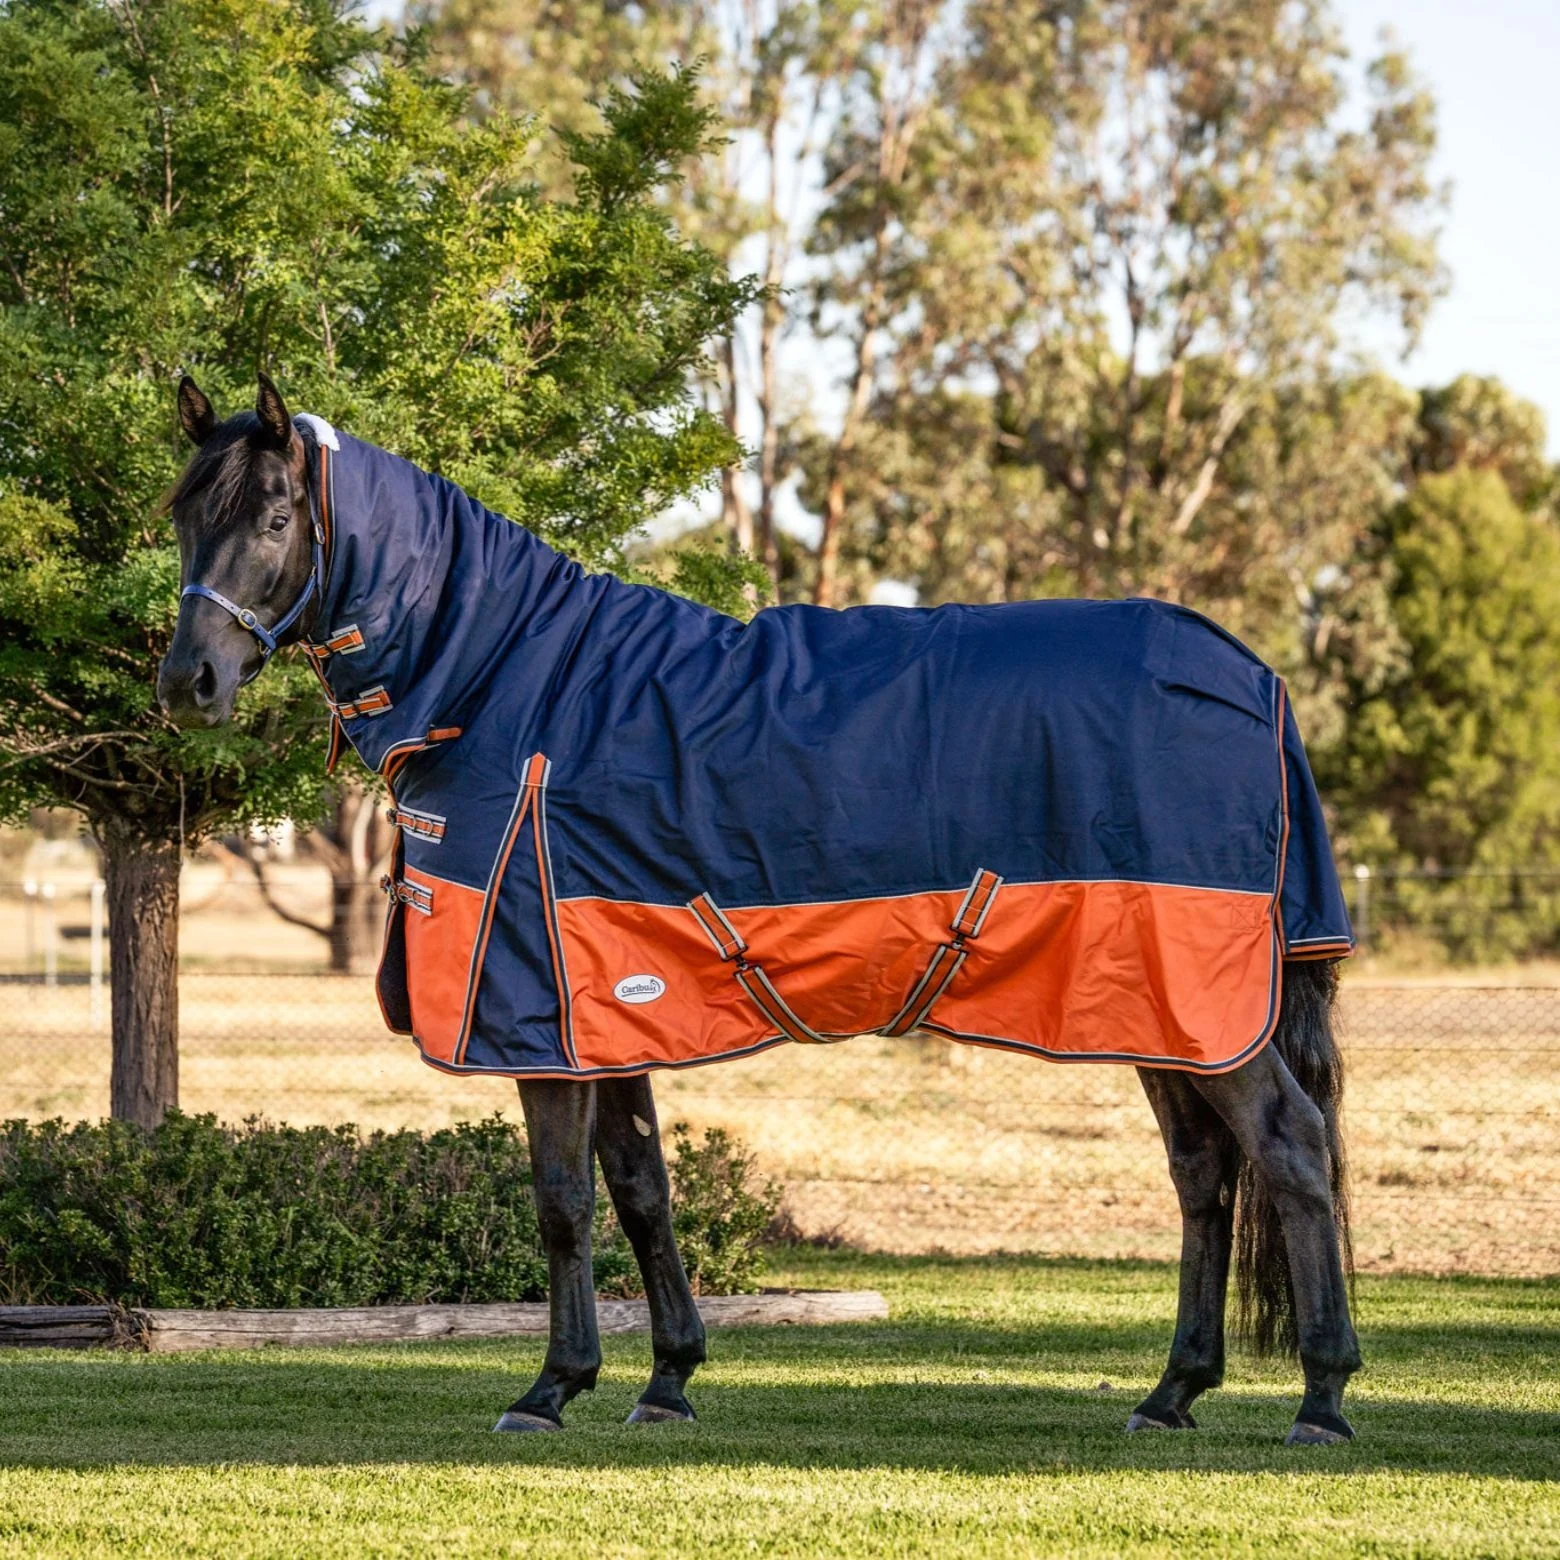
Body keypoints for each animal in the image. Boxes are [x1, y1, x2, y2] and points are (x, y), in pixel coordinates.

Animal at [157, 373, 1361, 1444]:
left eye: (275, 517)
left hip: (1201, 1002)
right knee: (1206, 1175)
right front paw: (666, 1380)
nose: (188, 684)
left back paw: (1322, 1398)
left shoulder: (539, 1018)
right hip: (1157, 1008)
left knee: (1291, 1148)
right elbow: (642, 1188)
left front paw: (550, 1388)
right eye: (182, 517)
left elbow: (562, 1201)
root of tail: (1251, 676)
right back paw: (1172, 1393)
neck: (508, 681)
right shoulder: (603, 1008)